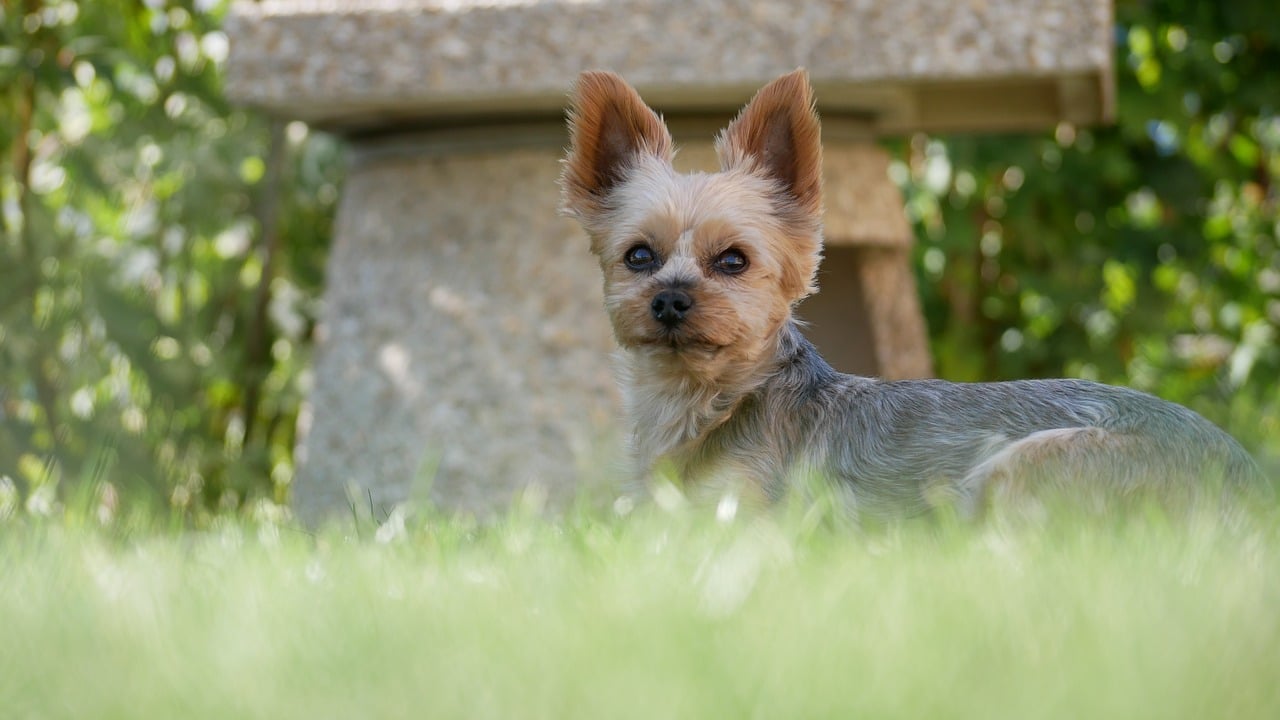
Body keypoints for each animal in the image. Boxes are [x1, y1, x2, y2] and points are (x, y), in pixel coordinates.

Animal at [558, 68, 1259, 515]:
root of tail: (1245, 473)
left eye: (733, 260)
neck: (707, 399)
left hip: (1018, 468)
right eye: (639, 256)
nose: (670, 299)